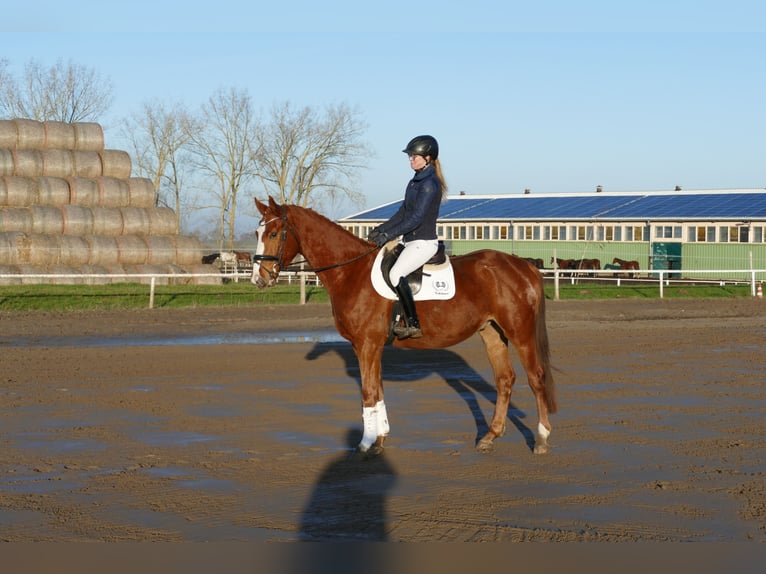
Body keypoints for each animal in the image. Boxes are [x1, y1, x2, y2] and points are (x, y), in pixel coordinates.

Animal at [251, 197, 557, 457]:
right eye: (257, 233)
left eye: (274, 234)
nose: (259, 279)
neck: (352, 272)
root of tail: (523, 266)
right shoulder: (369, 347)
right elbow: (377, 390)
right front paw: (380, 439)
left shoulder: (367, 345)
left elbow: (368, 393)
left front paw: (365, 444)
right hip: (492, 332)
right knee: (504, 380)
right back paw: (490, 437)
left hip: (520, 332)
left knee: (536, 377)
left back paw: (541, 439)